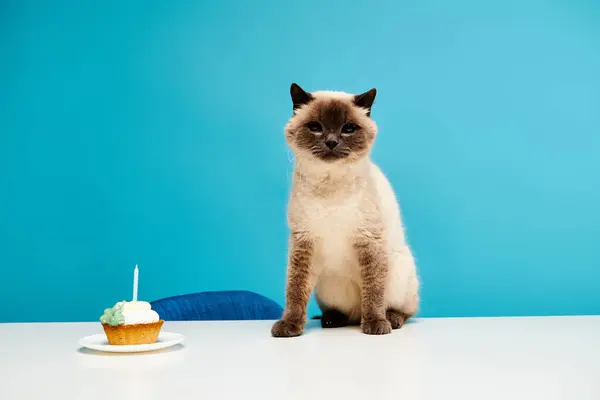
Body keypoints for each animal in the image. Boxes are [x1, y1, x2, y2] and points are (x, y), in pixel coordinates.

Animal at [270, 83, 418, 336]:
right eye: (315, 127)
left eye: (348, 128)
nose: (331, 142)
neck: (331, 184)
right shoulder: (304, 241)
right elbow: (295, 289)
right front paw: (289, 326)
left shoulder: (368, 240)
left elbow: (373, 290)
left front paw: (375, 325)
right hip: (327, 288)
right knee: (346, 314)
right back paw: (331, 320)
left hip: (399, 271)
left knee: (403, 309)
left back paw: (390, 319)